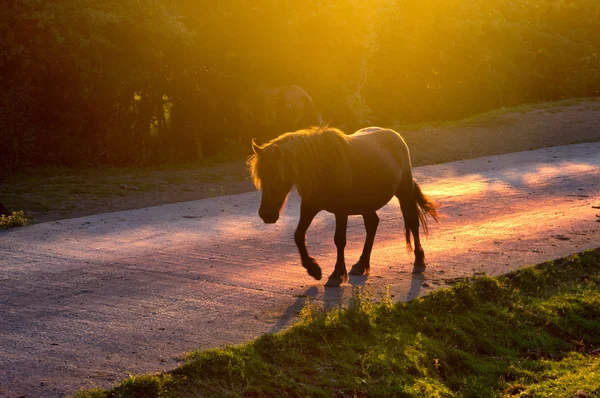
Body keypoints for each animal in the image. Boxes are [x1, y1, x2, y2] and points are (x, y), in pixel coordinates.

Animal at [248, 126, 440, 286]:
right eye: (261, 177)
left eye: (277, 176)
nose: (267, 215)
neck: (322, 167)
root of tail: (396, 137)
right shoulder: (309, 206)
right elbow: (298, 235)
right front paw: (314, 269)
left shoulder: (341, 211)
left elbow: (339, 240)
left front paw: (337, 274)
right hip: (367, 202)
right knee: (372, 225)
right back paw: (361, 264)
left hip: (404, 191)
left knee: (412, 222)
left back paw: (419, 261)